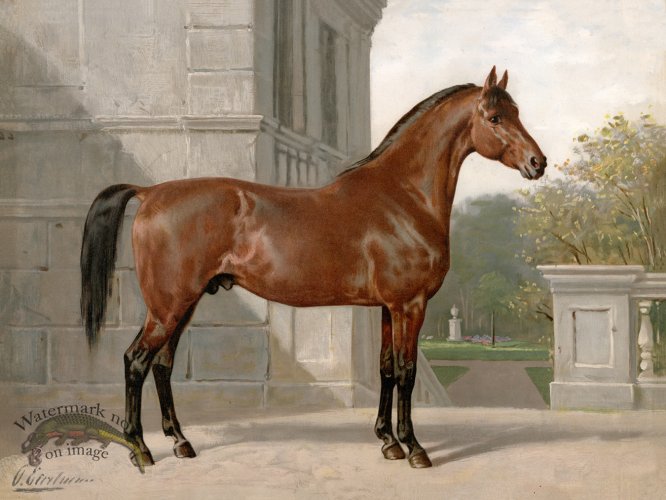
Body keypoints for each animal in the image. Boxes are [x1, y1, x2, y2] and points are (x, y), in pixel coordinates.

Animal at [80, 67, 546, 469]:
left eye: (518, 112)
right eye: (495, 117)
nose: (537, 163)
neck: (403, 196)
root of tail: (150, 192)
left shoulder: (387, 308)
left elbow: (385, 369)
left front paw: (387, 442)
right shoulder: (409, 305)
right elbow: (407, 372)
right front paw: (414, 448)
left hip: (184, 304)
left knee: (162, 364)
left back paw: (180, 441)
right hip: (168, 305)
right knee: (136, 361)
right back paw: (140, 450)